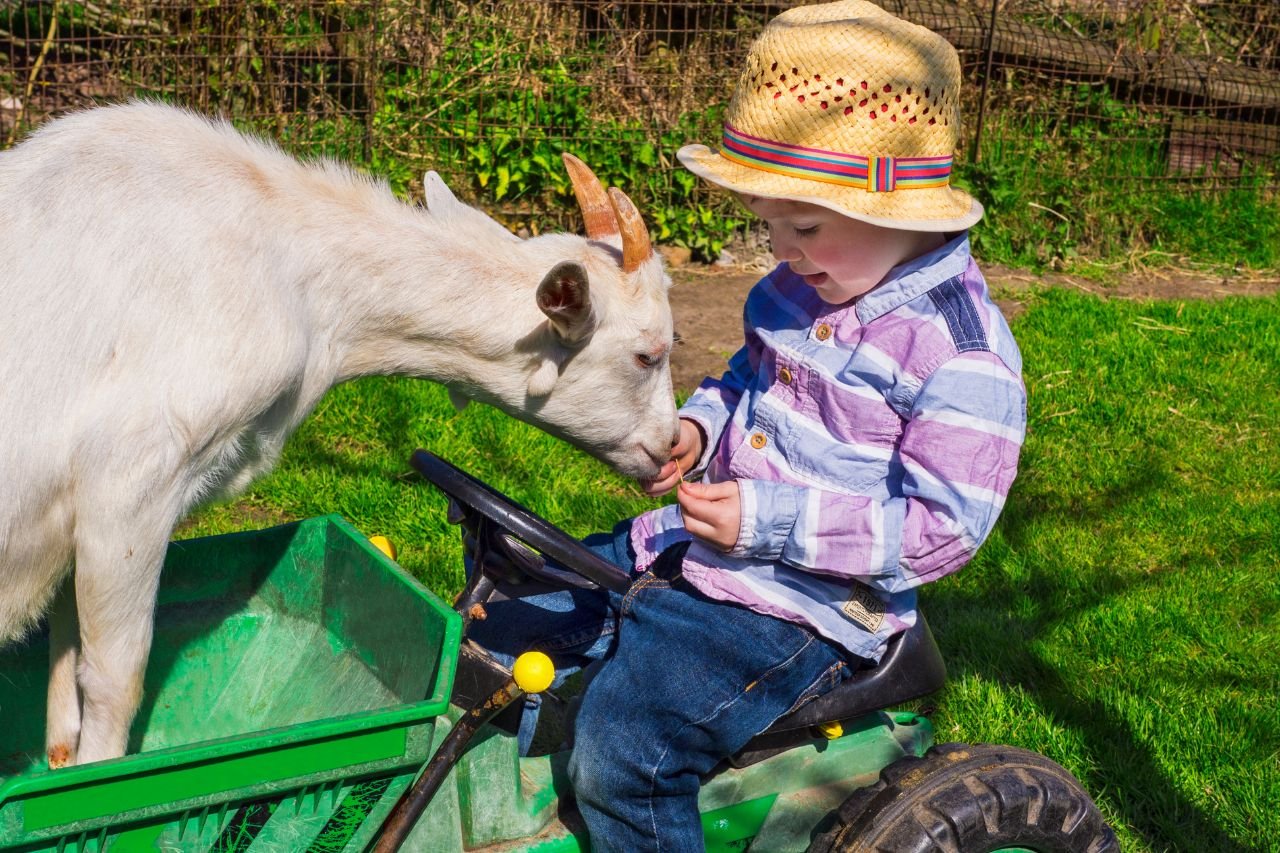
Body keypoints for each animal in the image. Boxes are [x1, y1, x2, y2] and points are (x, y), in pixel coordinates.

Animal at [0, 99, 680, 763]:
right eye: (649, 353)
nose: (672, 450)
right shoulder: (130, 481)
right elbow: (117, 679)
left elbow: (65, 649)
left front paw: (57, 755)